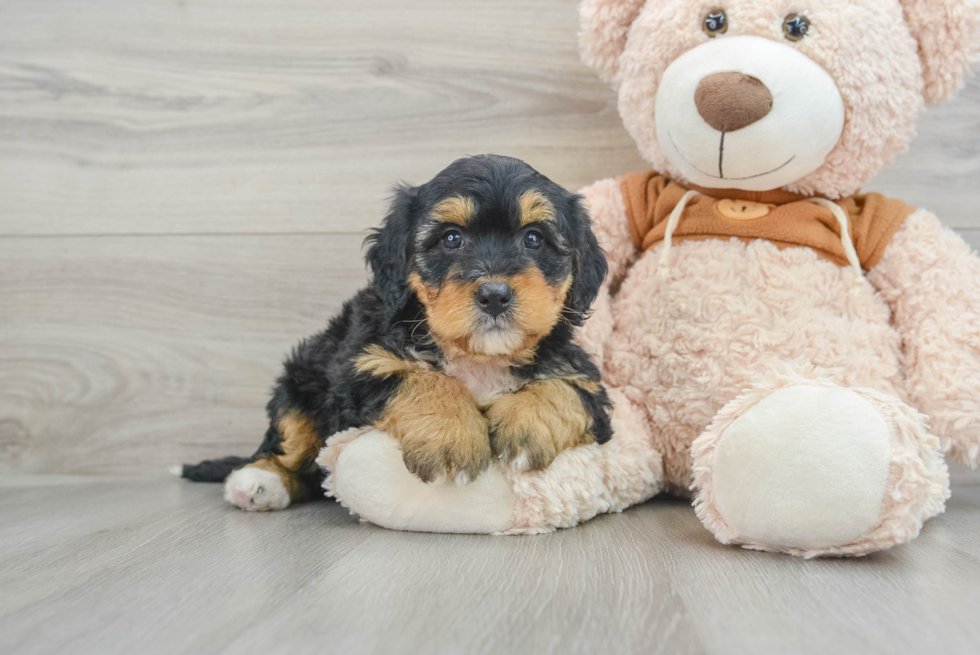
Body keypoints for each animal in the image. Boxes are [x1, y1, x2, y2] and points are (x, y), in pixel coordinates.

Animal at [179, 155, 608, 512]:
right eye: (451, 238)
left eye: (534, 238)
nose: (494, 294)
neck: (478, 356)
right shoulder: (359, 364)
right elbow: (421, 378)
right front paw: (450, 436)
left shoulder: (584, 376)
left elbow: (564, 389)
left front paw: (526, 428)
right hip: (300, 380)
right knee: (291, 446)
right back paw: (259, 481)